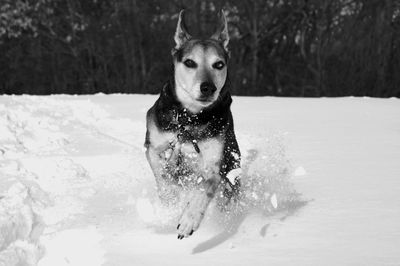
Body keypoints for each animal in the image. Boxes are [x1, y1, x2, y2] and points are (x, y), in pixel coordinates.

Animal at [145, 9, 242, 239]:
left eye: (219, 64)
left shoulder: (214, 163)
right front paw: (169, 197)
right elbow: (161, 173)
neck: (190, 118)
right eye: (190, 62)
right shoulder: (153, 145)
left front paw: (189, 219)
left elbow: (205, 185)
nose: (208, 87)